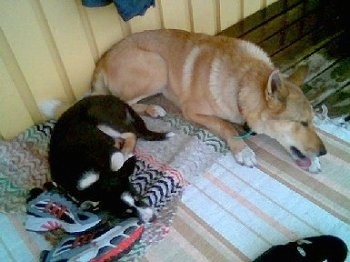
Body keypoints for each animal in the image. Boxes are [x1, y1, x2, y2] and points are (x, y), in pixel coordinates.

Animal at [91, 28, 326, 173]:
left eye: (312, 121)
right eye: (301, 123)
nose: (324, 153)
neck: (243, 82)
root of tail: (103, 58)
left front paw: (313, 160)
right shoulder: (192, 111)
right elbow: (225, 126)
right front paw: (242, 149)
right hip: (157, 67)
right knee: (122, 100)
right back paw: (152, 108)